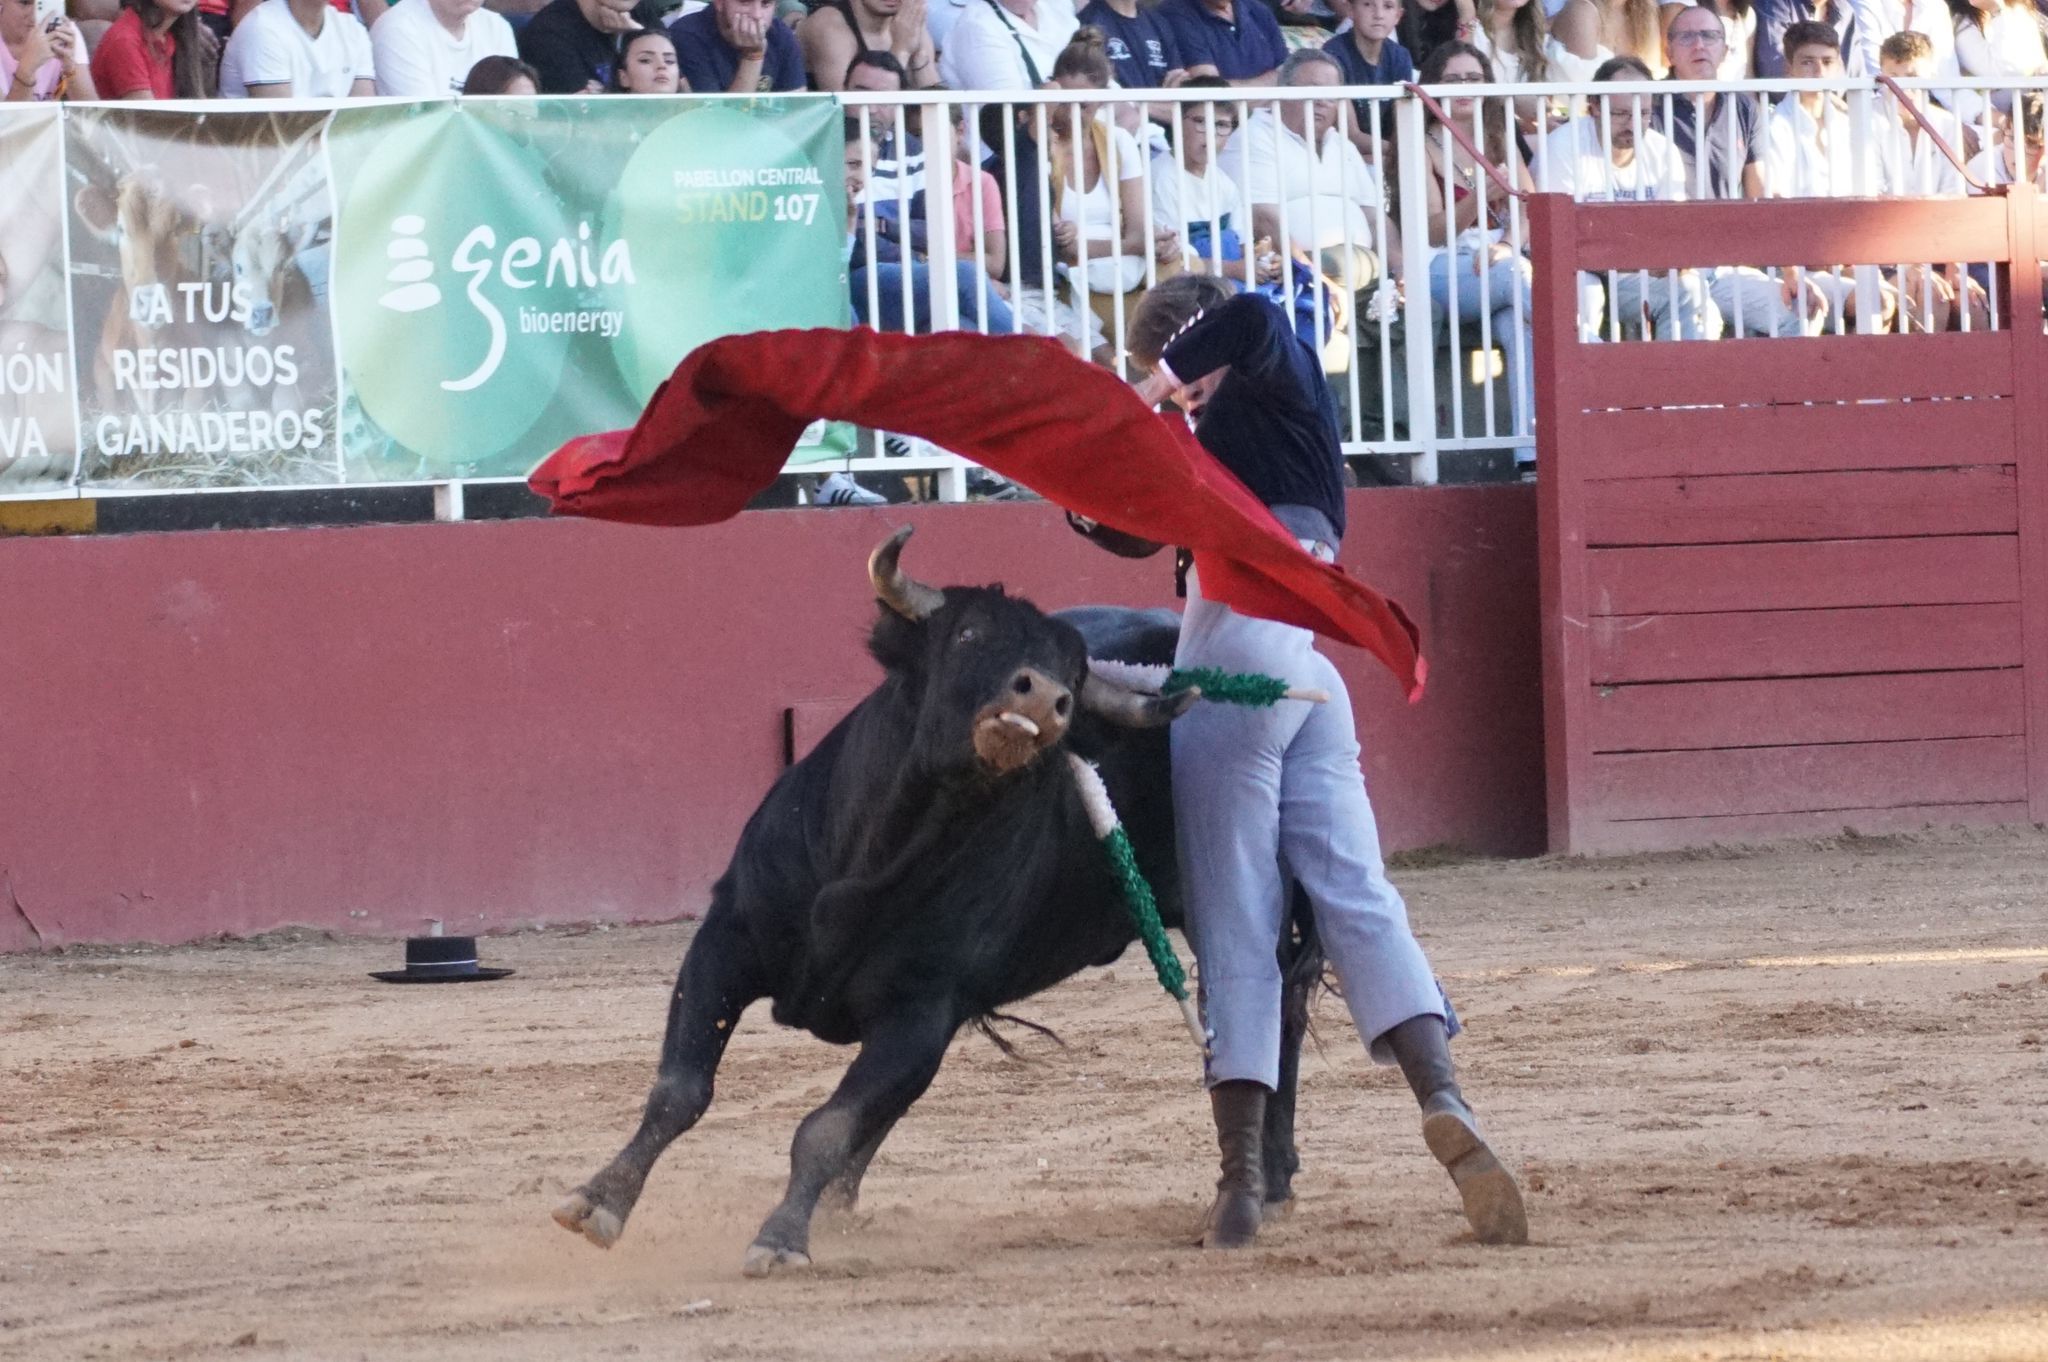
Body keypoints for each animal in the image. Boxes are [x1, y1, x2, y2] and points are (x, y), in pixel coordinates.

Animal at [552, 532, 1318, 1278]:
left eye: (1072, 676)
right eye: (969, 632)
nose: (1044, 697)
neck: (881, 856)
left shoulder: (921, 1009)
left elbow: (826, 1125)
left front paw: (781, 1237)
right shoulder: (726, 941)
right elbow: (680, 1087)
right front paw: (598, 1202)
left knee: (1274, 1014)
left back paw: (1271, 1183)